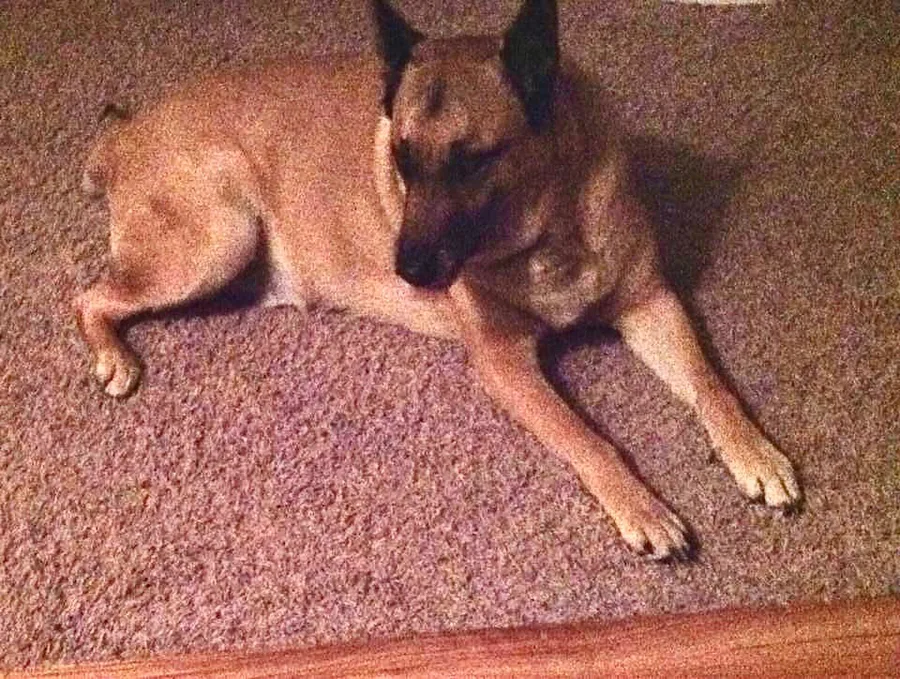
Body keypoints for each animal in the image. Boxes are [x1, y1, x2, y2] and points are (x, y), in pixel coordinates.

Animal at [75, 0, 800, 560]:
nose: (409, 272)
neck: (552, 230)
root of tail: (126, 133)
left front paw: (755, 453)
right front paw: (642, 507)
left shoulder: (651, 303)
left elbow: (711, 384)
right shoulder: (506, 363)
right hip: (216, 241)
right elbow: (590, 440)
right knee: (90, 296)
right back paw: (113, 358)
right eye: (400, 158)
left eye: (473, 161)